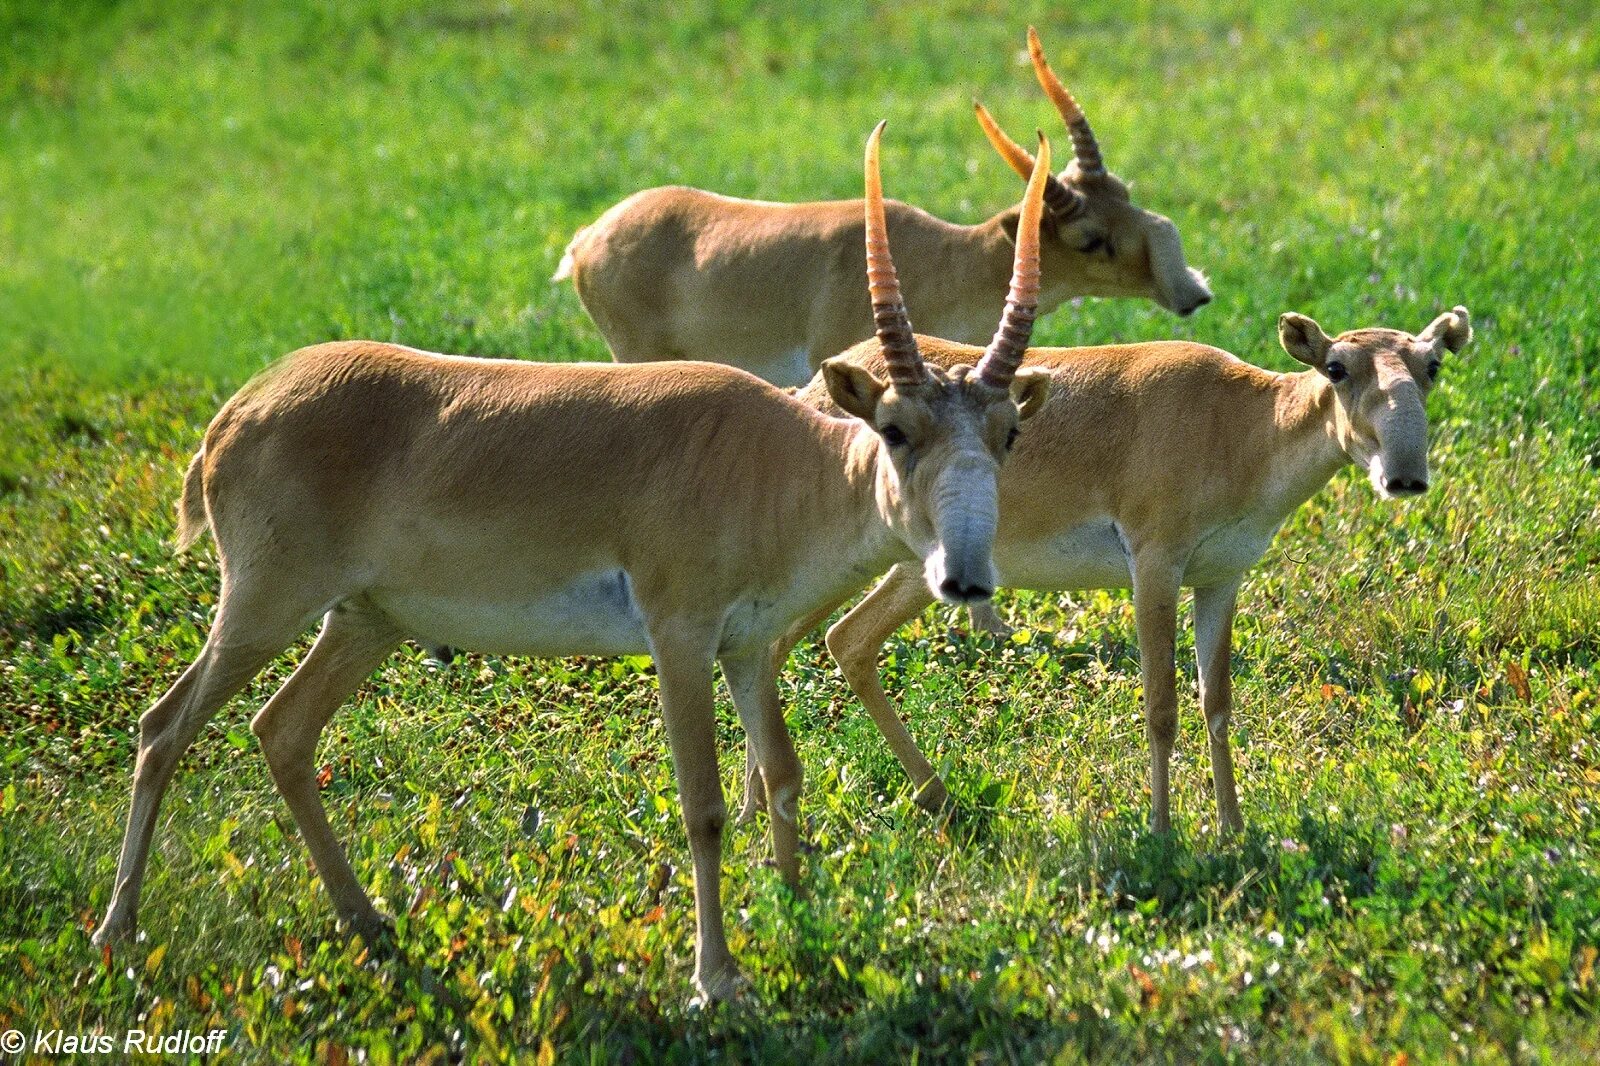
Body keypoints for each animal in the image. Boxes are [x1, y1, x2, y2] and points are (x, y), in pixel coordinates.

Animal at [93, 122, 1056, 998]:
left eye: (1009, 432)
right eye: (895, 428)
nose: (966, 577)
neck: (776, 458)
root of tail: (238, 410)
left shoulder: (746, 647)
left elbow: (784, 775)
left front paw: (798, 917)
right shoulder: (678, 639)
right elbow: (704, 805)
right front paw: (717, 979)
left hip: (362, 622)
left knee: (281, 732)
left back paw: (370, 924)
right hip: (263, 603)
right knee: (164, 727)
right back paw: (117, 932)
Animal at [739, 302, 1472, 825]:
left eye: (1431, 365)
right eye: (1337, 366)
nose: (1405, 476)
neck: (1246, 426)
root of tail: (812, 388)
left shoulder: (1221, 576)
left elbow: (1217, 703)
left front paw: (1234, 827)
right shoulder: (1155, 562)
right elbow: (1161, 706)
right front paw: (1163, 830)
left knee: (820, 642)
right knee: (807, 642)